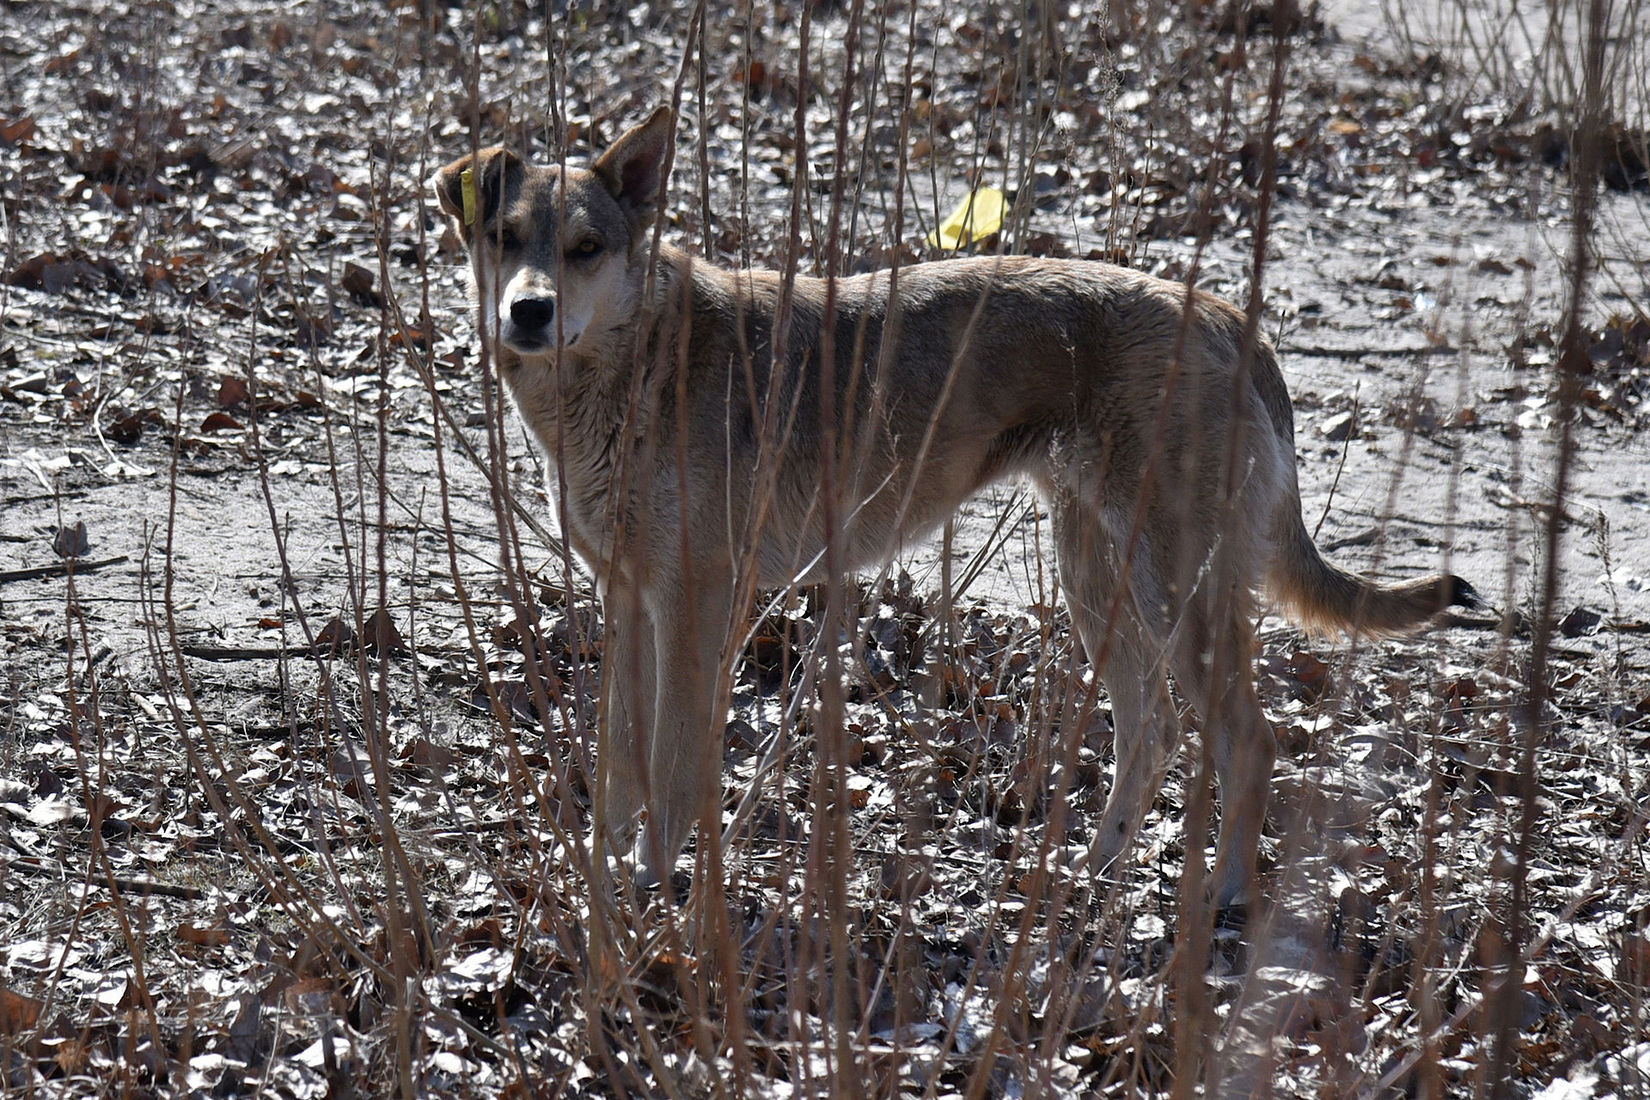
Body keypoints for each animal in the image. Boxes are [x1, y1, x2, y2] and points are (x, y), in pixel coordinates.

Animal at [432, 107, 1478, 910]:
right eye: (504, 239)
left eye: (585, 249)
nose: (527, 313)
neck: (630, 374)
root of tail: (1228, 317)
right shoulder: (629, 605)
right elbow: (620, 768)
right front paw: (603, 887)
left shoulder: (693, 610)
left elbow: (676, 769)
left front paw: (656, 902)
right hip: (1100, 580)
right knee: (1153, 738)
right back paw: (1086, 876)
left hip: (1174, 589)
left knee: (1248, 742)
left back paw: (1217, 899)